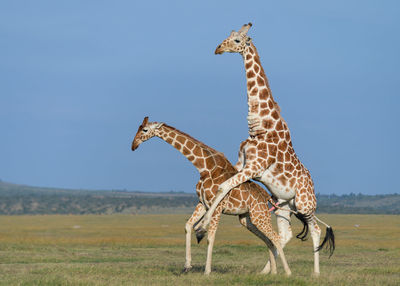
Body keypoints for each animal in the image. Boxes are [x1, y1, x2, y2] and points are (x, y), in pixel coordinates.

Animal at [131, 116, 290, 274]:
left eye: (145, 130)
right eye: (138, 128)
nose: (133, 145)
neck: (204, 168)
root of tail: (267, 197)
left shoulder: (218, 207)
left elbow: (211, 237)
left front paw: (207, 271)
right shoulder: (202, 203)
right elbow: (188, 226)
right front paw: (187, 266)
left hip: (259, 214)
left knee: (275, 237)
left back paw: (287, 272)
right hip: (247, 219)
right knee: (268, 239)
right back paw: (273, 272)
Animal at [194, 22, 334, 274]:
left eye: (238, 40)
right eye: (229, 35)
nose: (218, 48)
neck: (260, 126)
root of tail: (312, 186)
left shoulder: (255, 167)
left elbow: (224, 186)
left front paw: (202, 227)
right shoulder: (241, 164)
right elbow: (223, 186)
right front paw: (201, 222)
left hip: (305, 204)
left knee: (316, 230)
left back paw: (316, 273)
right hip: (284, 204)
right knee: (285, 234)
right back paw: (267, 271)